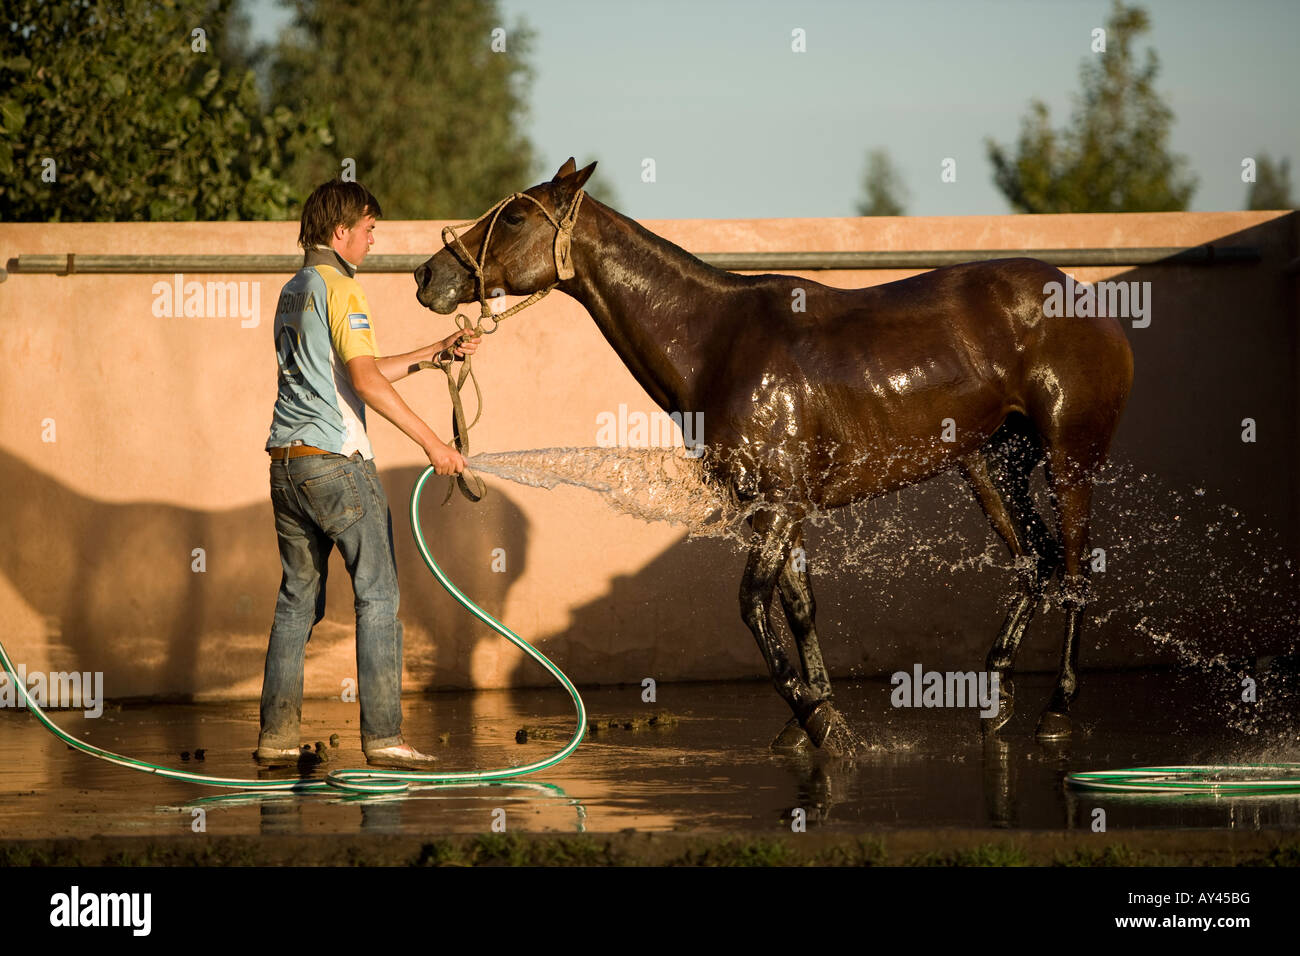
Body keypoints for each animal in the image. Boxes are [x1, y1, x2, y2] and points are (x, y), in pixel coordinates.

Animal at [413, 157, 1128, 754]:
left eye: (516, 216)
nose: (428, 274)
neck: (717, 340)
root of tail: (1089, 300)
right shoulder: (778, 508)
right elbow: (799, 605)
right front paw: (818, 713)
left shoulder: (779, 505)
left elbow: (752, 603)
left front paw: (814, 717)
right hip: (990, 469)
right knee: (1033, 562)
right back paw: (994, 693)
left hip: (1069, 463)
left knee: (1073, 571)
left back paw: (1057, 709)